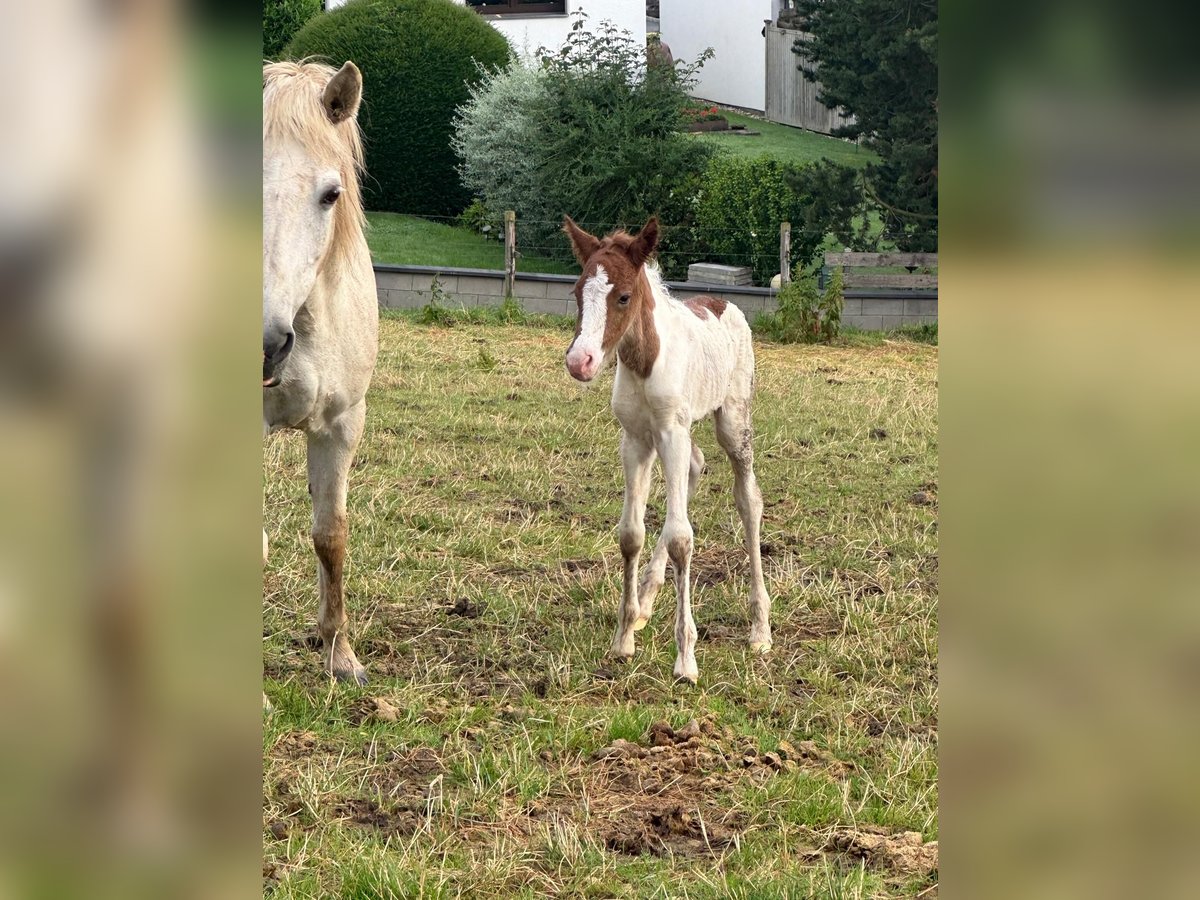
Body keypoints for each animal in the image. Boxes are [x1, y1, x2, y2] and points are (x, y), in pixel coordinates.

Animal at [559, 218, 768, 681]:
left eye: (623, 296)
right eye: (578, 291)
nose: (579, 362)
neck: (643, 361)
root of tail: (726, 303)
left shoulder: (671, 432)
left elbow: (681, 540)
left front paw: (686, 659)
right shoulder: (636, 439)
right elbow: (632, 534)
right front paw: (623, 639)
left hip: (732, 420)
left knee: (748, 499)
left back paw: (760, 628)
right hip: (671, 437)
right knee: (695, 467)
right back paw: (646, 602)